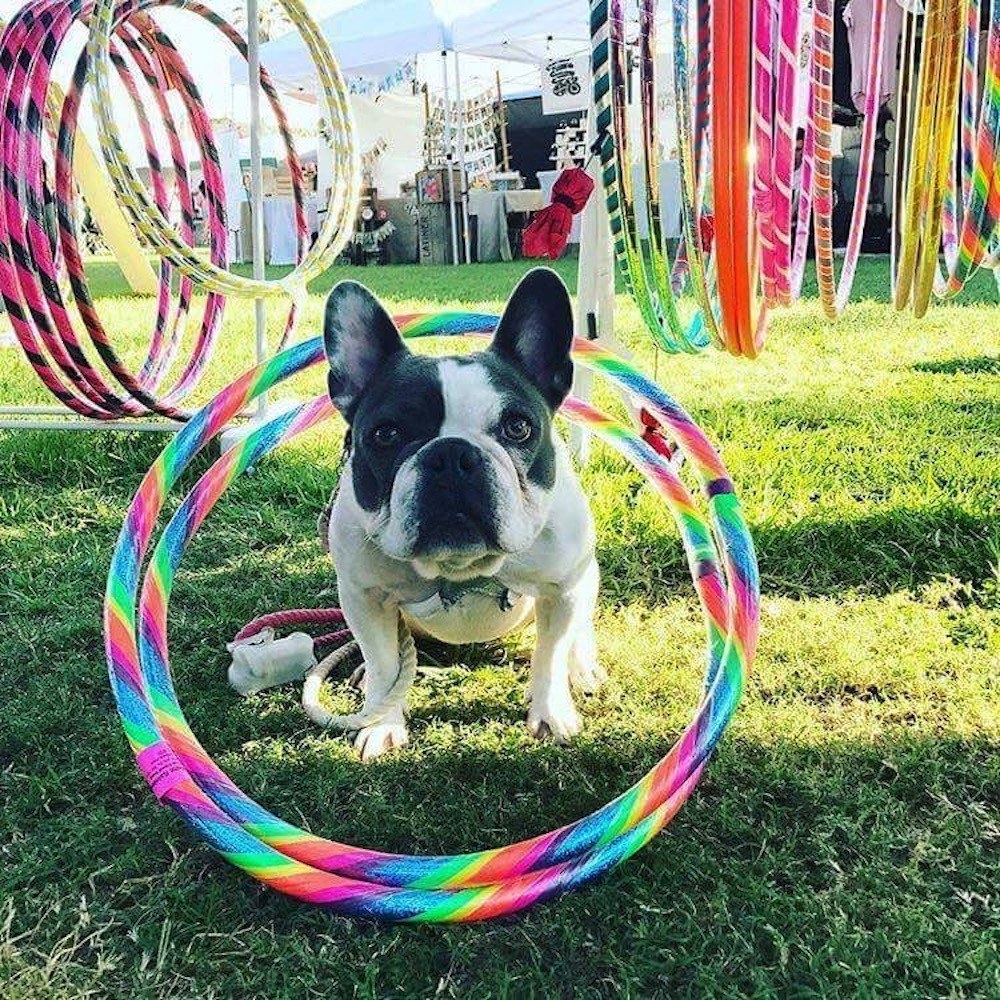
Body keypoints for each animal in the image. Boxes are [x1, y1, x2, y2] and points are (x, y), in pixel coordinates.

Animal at [324, 266, 600, 756]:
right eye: (386, 434)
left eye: (518, 427)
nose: (452, 454)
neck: (462, 568)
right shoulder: (364, 597)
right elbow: (384, 664)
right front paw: (381, 721)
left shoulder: (561, 589)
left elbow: (550, 653)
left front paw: (550, 712)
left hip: (587, 579)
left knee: (580, 631)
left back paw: (582, 667)